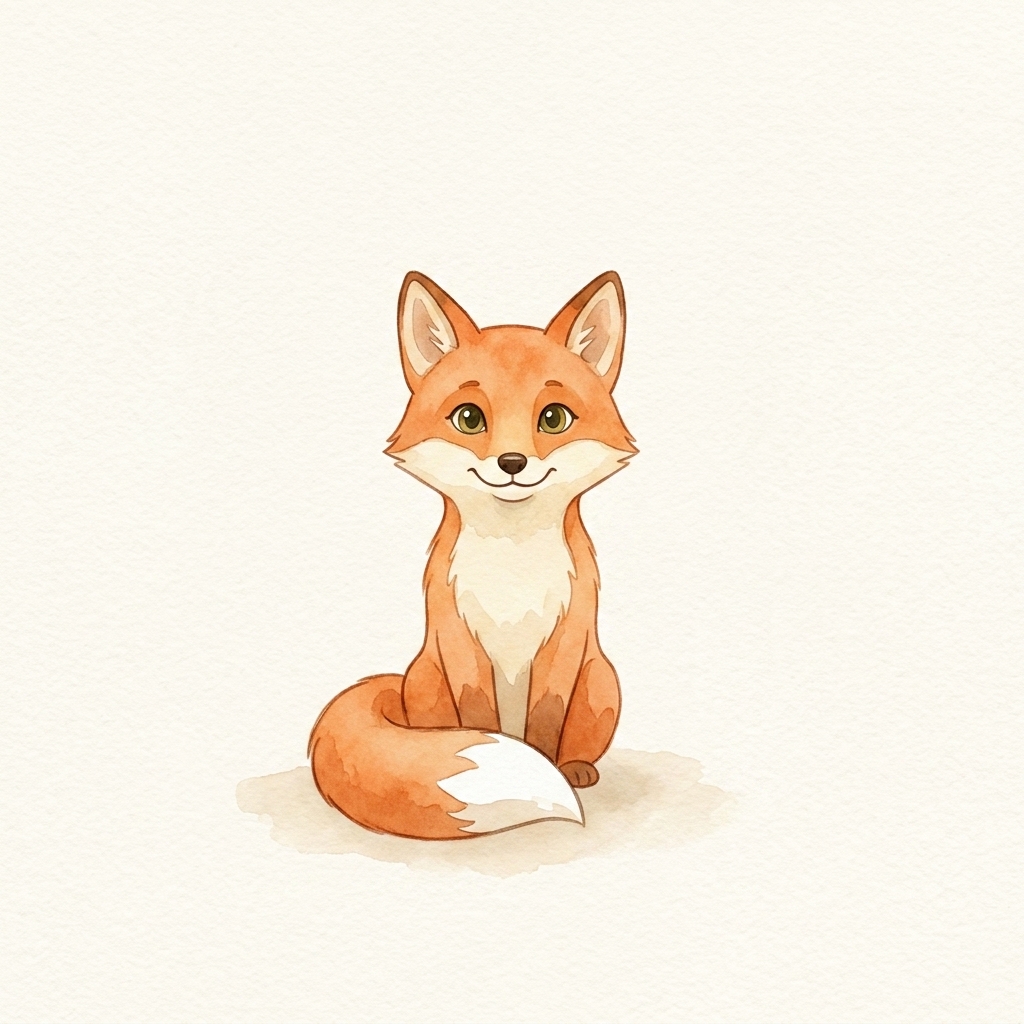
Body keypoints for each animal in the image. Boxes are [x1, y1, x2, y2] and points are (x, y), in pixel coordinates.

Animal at [308, 270, 637, 839]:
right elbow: (480, 721)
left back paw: (575, 769)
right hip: (427, 680)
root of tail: (397, 684)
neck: (511, 566)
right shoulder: (459, 639)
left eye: (554, 418)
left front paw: (549, 770)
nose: (512, 462)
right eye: (468, 418)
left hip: (601, 681)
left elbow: (544, 725)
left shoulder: (564, 641)